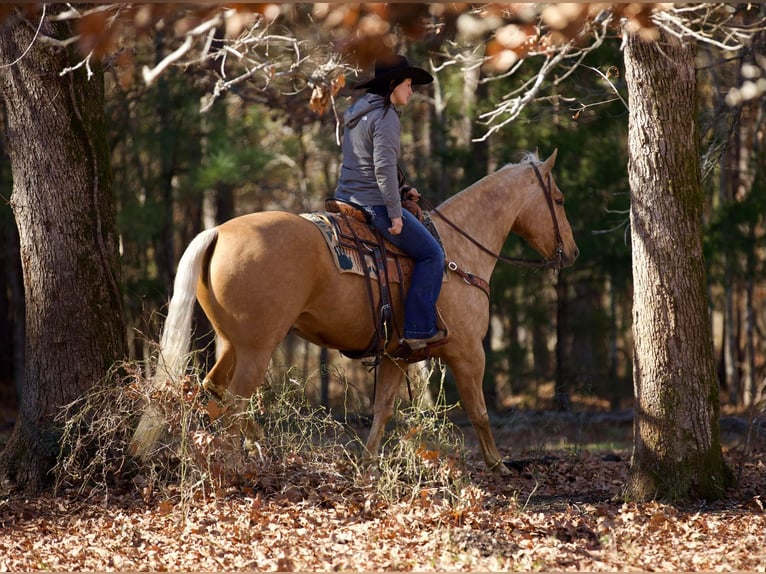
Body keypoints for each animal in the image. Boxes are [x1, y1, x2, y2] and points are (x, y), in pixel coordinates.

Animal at [130, 150, 576, 476]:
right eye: (558, 199)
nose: (570, 252)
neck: (457, 252)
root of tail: (219, 231)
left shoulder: (397, 356)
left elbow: (382, 412)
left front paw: (367, 466)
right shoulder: (469, 352)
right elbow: (480, 412)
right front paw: (499, 466)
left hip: (231, 343)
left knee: (213, 391)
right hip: (258, 347)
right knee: (236, 402)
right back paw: (241, 460)